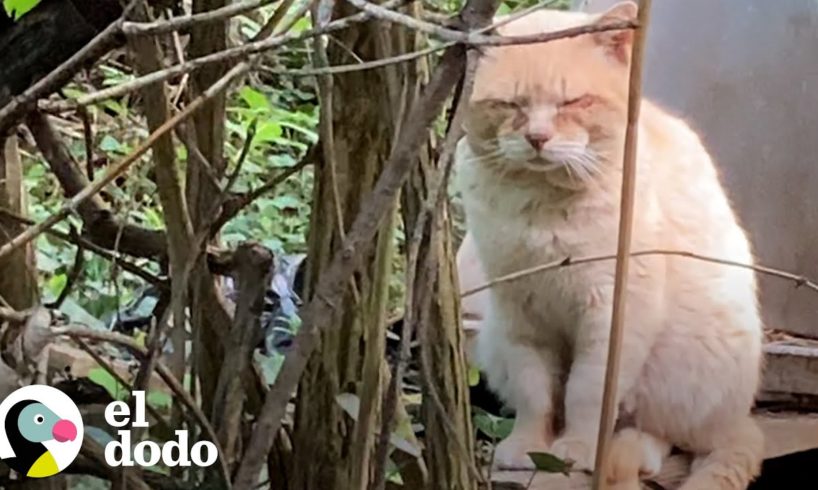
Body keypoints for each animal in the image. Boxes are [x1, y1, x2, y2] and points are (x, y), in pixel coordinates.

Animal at [452, 1, 764, 488]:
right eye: (511, 105)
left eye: (572, 102)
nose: (537, 139)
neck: (540, 207)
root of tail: (739, 417)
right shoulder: (519, 312)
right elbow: (535, 390)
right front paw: (528, 447)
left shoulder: (611, 314)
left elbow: (586, 393)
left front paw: (578, 450)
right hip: (493, 337)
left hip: (685, 371)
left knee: (663, 435)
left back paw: (626, 452)